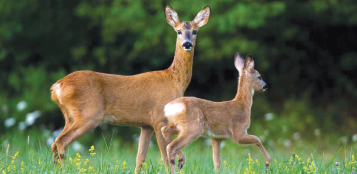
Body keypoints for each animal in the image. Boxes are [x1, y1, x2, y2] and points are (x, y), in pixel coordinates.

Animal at [51, 4, 210, 172]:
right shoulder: (159, 118)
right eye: (178, 31)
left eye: (195, 31)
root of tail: (57, 86)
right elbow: (166, 157)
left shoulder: (146, 124)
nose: (187, 44)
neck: (173, 81)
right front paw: (179, 162)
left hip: (69, 116)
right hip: (88, 114)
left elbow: (140, 158)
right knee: (61, 142)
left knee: (55, 143)